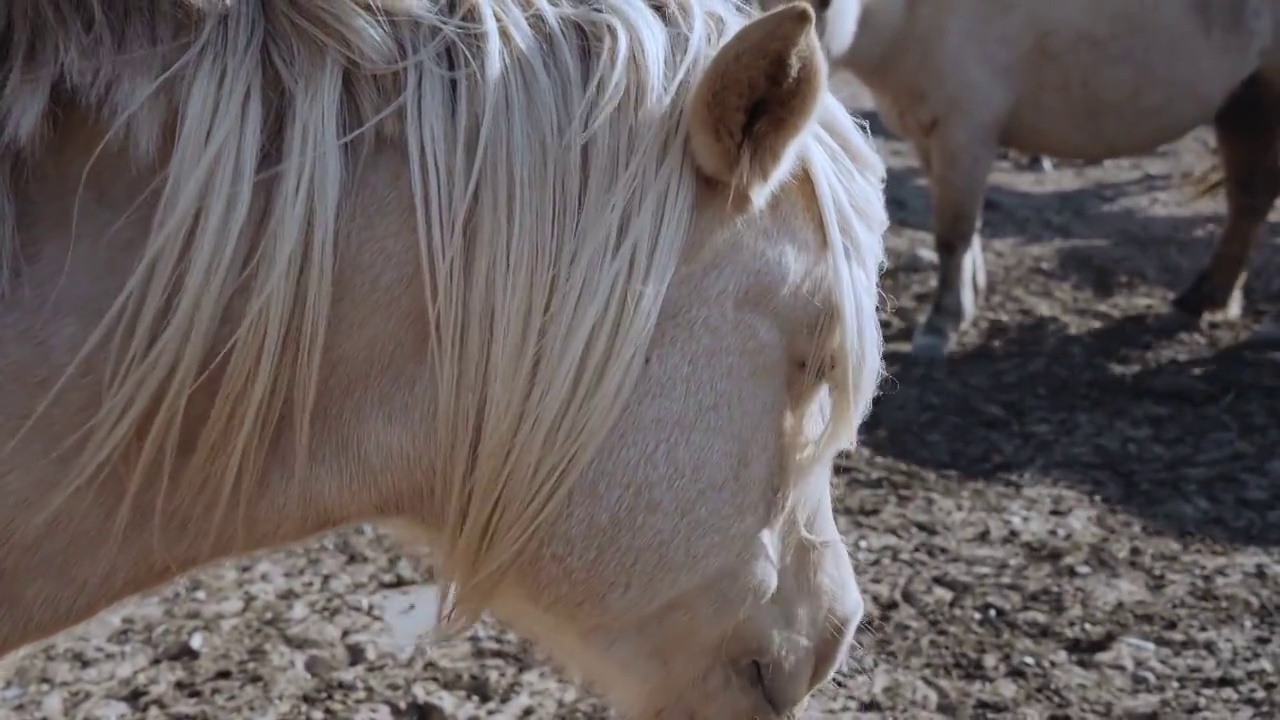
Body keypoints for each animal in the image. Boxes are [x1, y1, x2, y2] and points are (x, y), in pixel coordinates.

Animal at [768, 0, 1280, 356]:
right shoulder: (934, 135)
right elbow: (966, 231)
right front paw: (968, 301)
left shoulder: (965, 129)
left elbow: (952, 235)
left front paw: (941, 324)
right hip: (1245, 100)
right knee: (1249, 203)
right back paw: (1203, 298)